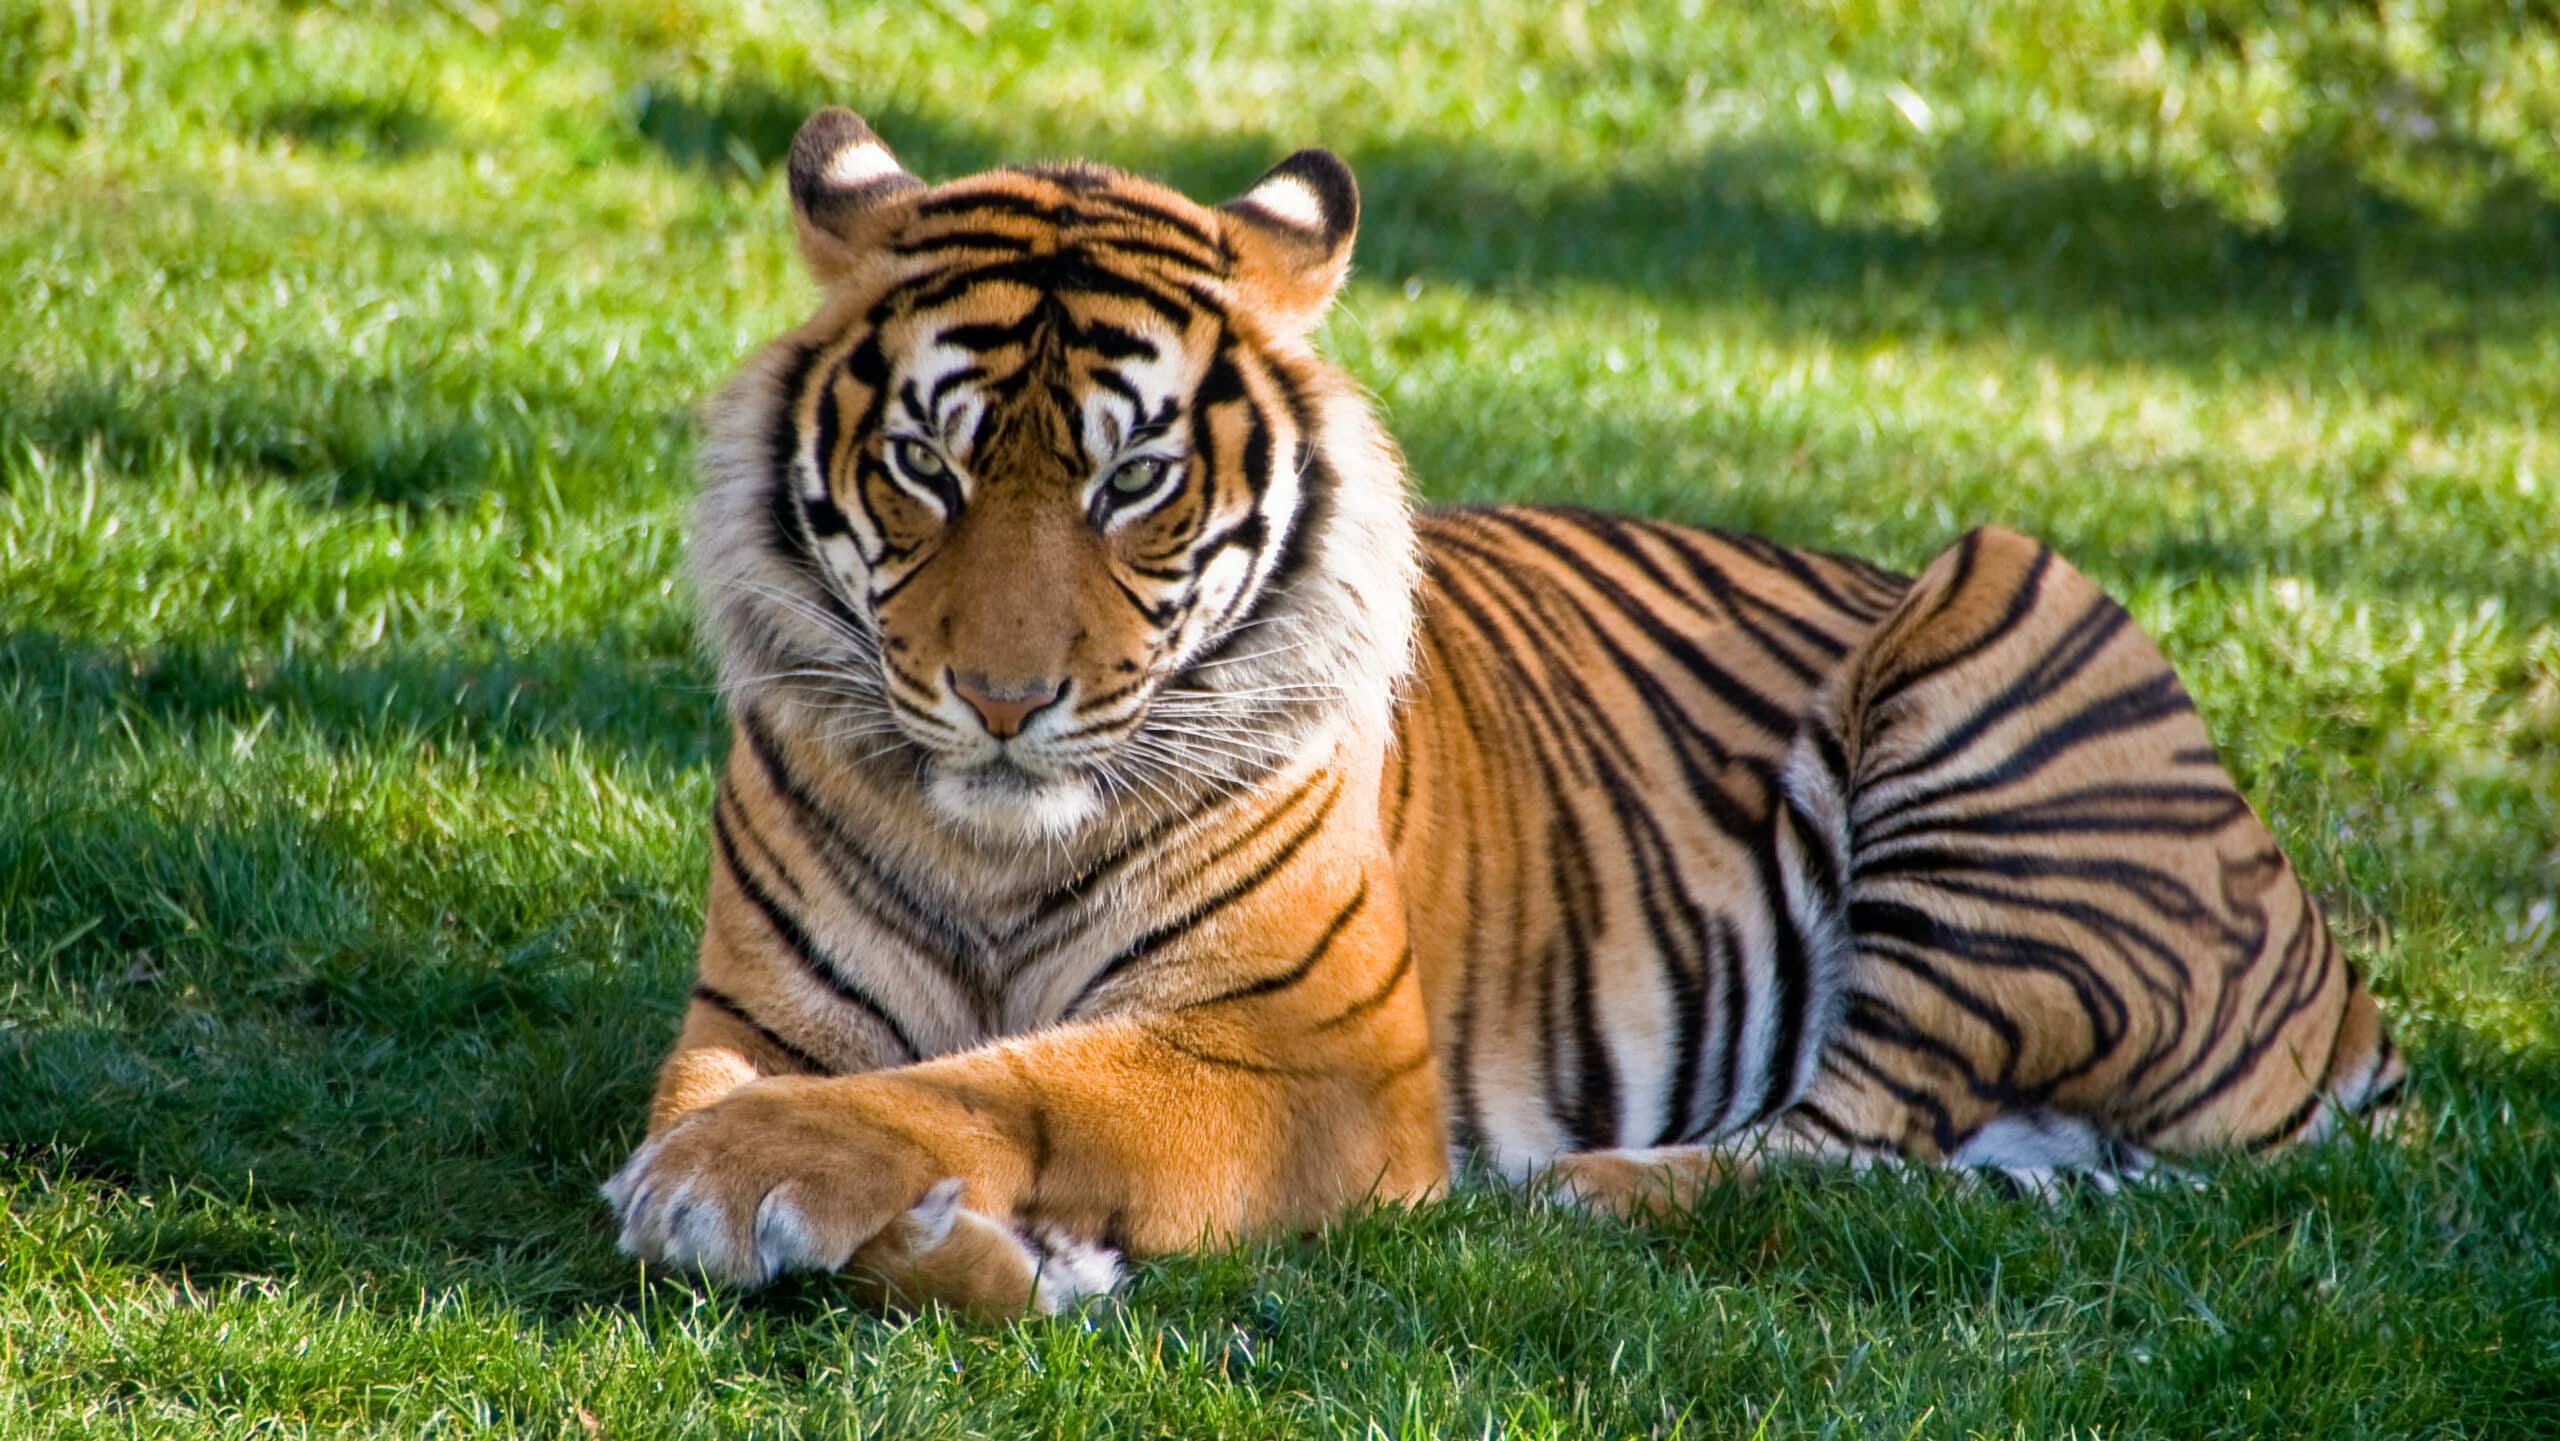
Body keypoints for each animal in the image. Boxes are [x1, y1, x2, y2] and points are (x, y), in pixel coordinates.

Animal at [601, 108, 2406, 1316]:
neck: (995, 846)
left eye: (1134, 481)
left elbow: (1009, 1082)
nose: (999, 700)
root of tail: (2345, 992)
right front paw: (959, 1243)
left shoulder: (1308, 1054)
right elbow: (798, 1097)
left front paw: (737, 1186)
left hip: (2002, 603)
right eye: (926, 463)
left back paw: (1580, 1192)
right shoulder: (755, 1013)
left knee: (1853, 1137)